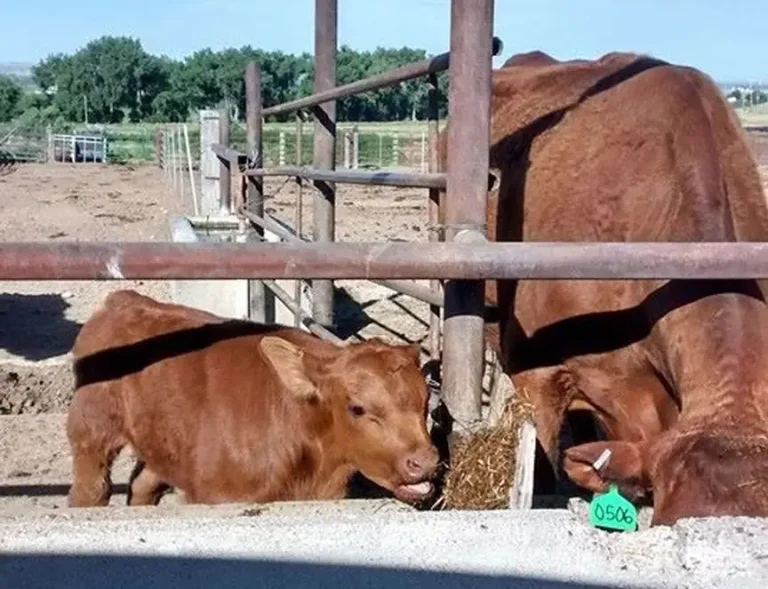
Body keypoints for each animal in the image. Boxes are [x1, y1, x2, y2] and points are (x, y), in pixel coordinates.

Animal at [66, 289, 439, 507]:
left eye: (425, 404)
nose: (424, 462)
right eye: (357, 408)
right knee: (90, 488)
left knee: (143, 484)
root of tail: (124, 299)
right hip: (91, 430)